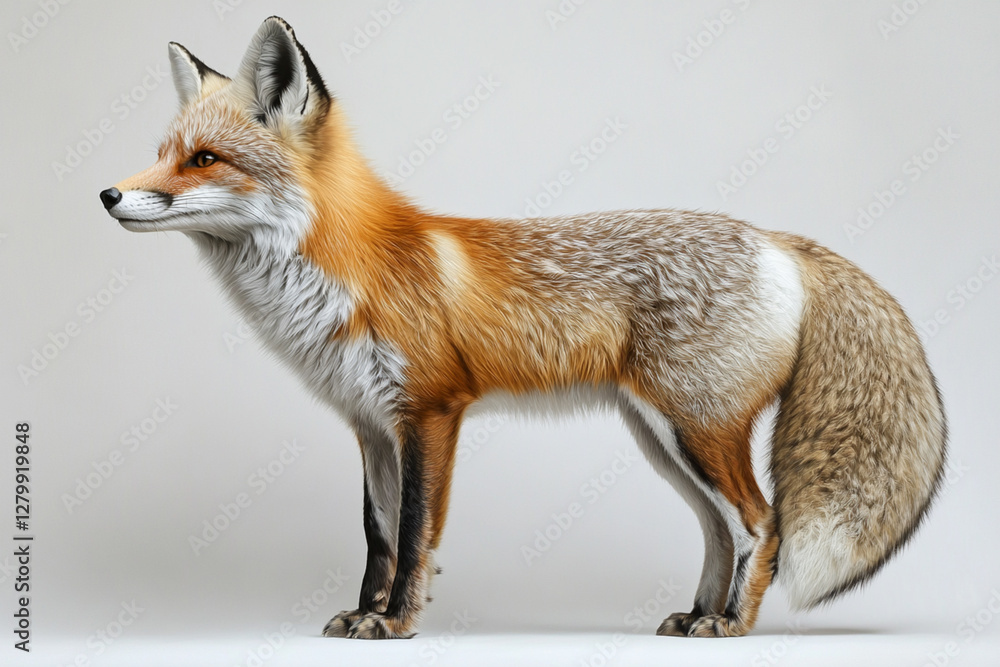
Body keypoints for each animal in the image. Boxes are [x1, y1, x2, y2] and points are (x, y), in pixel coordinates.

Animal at [100, 17, 947, 639]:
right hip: (663, 437)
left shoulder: (431, 411)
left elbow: (416, 532)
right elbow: (378, 533)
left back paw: (731, 624)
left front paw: (396, 623)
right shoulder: (370, 424)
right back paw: (699, 613)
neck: (343, 268)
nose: (108, 194)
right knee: (720, 528)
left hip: (696, 428)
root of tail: (775, 239)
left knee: (761, 521)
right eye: (163, 154)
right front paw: (366, 612)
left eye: (204, 159)